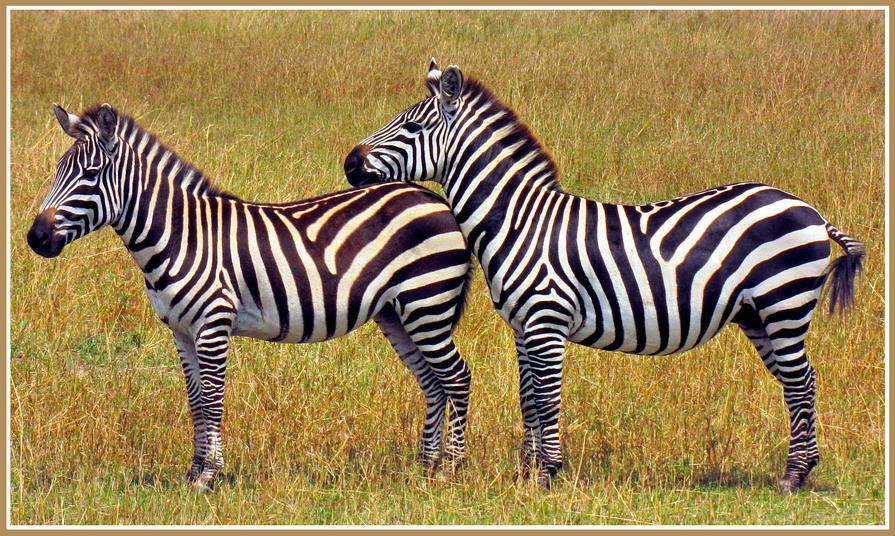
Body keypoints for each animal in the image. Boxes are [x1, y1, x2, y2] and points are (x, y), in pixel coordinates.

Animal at [28, 102, 476, 492]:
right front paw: (193, 473)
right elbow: (194, 401)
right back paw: (424, 467)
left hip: (427, 303)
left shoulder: (212, 324)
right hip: (397, 313)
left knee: (457, 377)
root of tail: (434, 197)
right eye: (58, 170)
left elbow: (212, 400)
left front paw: (210, 477)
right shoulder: (181, 332)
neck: (179, 236)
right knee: (433, 384)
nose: (36, 238)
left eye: (91, 173)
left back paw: (448, 470)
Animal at [344, 57, 860, 490]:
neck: (519, 220)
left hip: (784, 304)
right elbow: (527, 396)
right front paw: (527, 471)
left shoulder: (547, 320)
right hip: (758, 315)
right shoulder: (523, 326)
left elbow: (547, 396)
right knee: (798, 381)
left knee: (801, 381)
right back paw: (801, 469)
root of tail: (810, 210)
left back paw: (794, 475)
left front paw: (547, 474)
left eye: (411, 126)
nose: (349, 163)